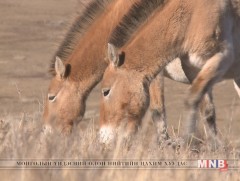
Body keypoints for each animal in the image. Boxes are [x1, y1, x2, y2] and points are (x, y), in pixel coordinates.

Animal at [99, 0, 240, 144]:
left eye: (106, 91)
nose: (103, 138)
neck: (191, 18)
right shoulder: (194, 71)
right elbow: (206, 109)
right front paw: (214, 144)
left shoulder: (221, 58)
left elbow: (191, 100)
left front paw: (189, 139)